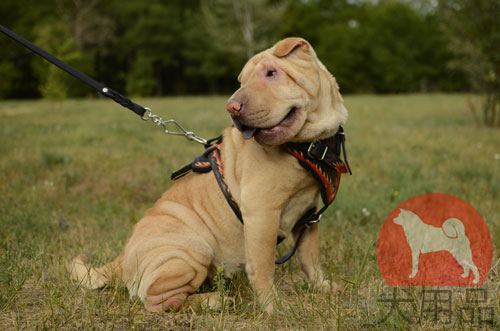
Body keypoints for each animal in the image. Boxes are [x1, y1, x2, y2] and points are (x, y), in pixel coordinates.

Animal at [70, 37, 350, 314]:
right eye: (242, 81)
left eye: (272, 73)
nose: (232, 106)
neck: (307, 146)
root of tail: (119, 261)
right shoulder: (262, 214)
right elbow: (262, 267)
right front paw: (274, 306)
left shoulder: (309, 217)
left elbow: (310, 258)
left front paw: (323, 287)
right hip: (192, 250)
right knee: (159, 301)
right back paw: (215, 301)